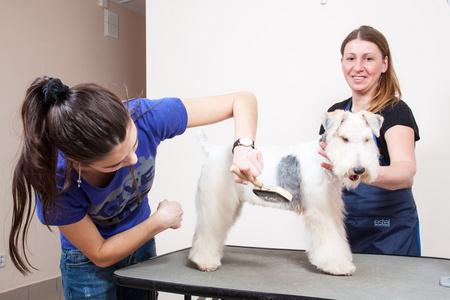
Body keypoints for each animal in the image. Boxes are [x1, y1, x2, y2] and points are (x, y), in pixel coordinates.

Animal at [189, 109, 384, 274]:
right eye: (344, 138)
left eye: (367, 139)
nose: (359, 169)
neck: (322, 159)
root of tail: (213, 150)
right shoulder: (320, 211)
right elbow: (329, 239)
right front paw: (338, 265)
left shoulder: (331, 207)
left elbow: (338, 237)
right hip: (216, 202)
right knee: (206, 232)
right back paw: (205, 261)